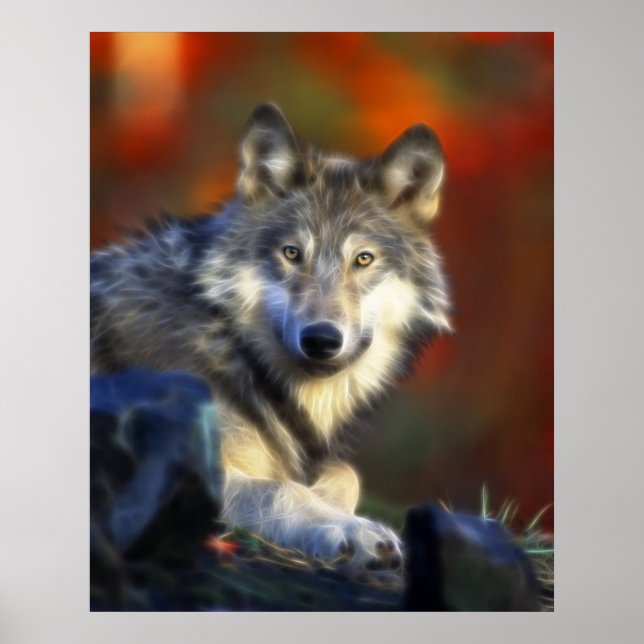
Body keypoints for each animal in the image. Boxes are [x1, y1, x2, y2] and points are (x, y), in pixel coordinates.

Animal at [91, 103, 451, 574]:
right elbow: (280, 489)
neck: (230, 343)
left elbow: (345, 474)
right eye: (292, 253)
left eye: (363, 259)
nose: (321, 340)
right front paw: (351, 530)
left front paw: (334, 509)